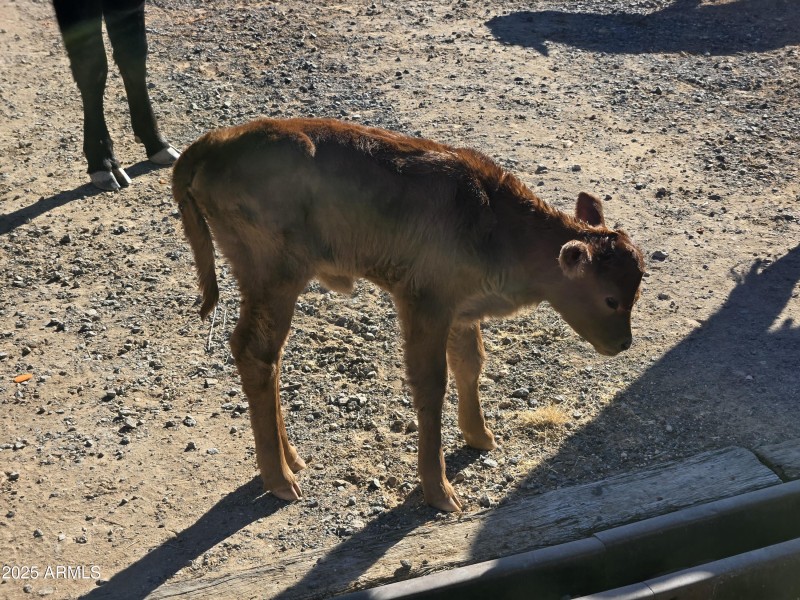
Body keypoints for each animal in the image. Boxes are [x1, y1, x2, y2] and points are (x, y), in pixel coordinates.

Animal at [172, 118, 645, 512]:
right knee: (255, 352)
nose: (623, 343)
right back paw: (281, 480)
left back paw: (292, 460)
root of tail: (217, 140)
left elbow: (470, 363)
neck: (496, 222)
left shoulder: (461, 309)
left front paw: (480, 436)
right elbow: (431, 384)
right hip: (274, 278)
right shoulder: (425, 303)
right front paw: (440, 491)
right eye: (610, 299)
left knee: (270, 359)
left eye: (636, 290)